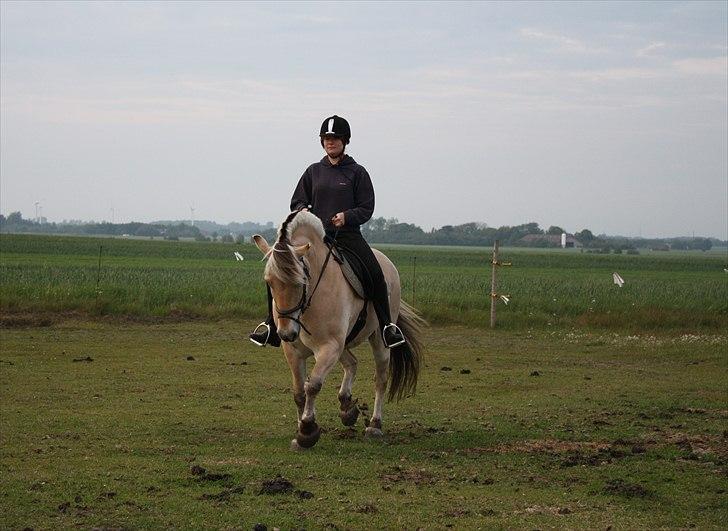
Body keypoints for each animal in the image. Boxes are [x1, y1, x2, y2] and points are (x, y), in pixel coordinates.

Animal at [253, 210, 424, 450]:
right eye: (269, 282)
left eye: (301, 281)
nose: (286, 333)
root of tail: (386, 261)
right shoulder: (294, 351)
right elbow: (299, 392)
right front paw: (301, 431)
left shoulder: (329, 347)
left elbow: (312, 386)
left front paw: (307, 430)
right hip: (343, 344)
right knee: (352, 362)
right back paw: (347, 407)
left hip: (378, 340)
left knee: (380, 379)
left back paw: (374, 425)